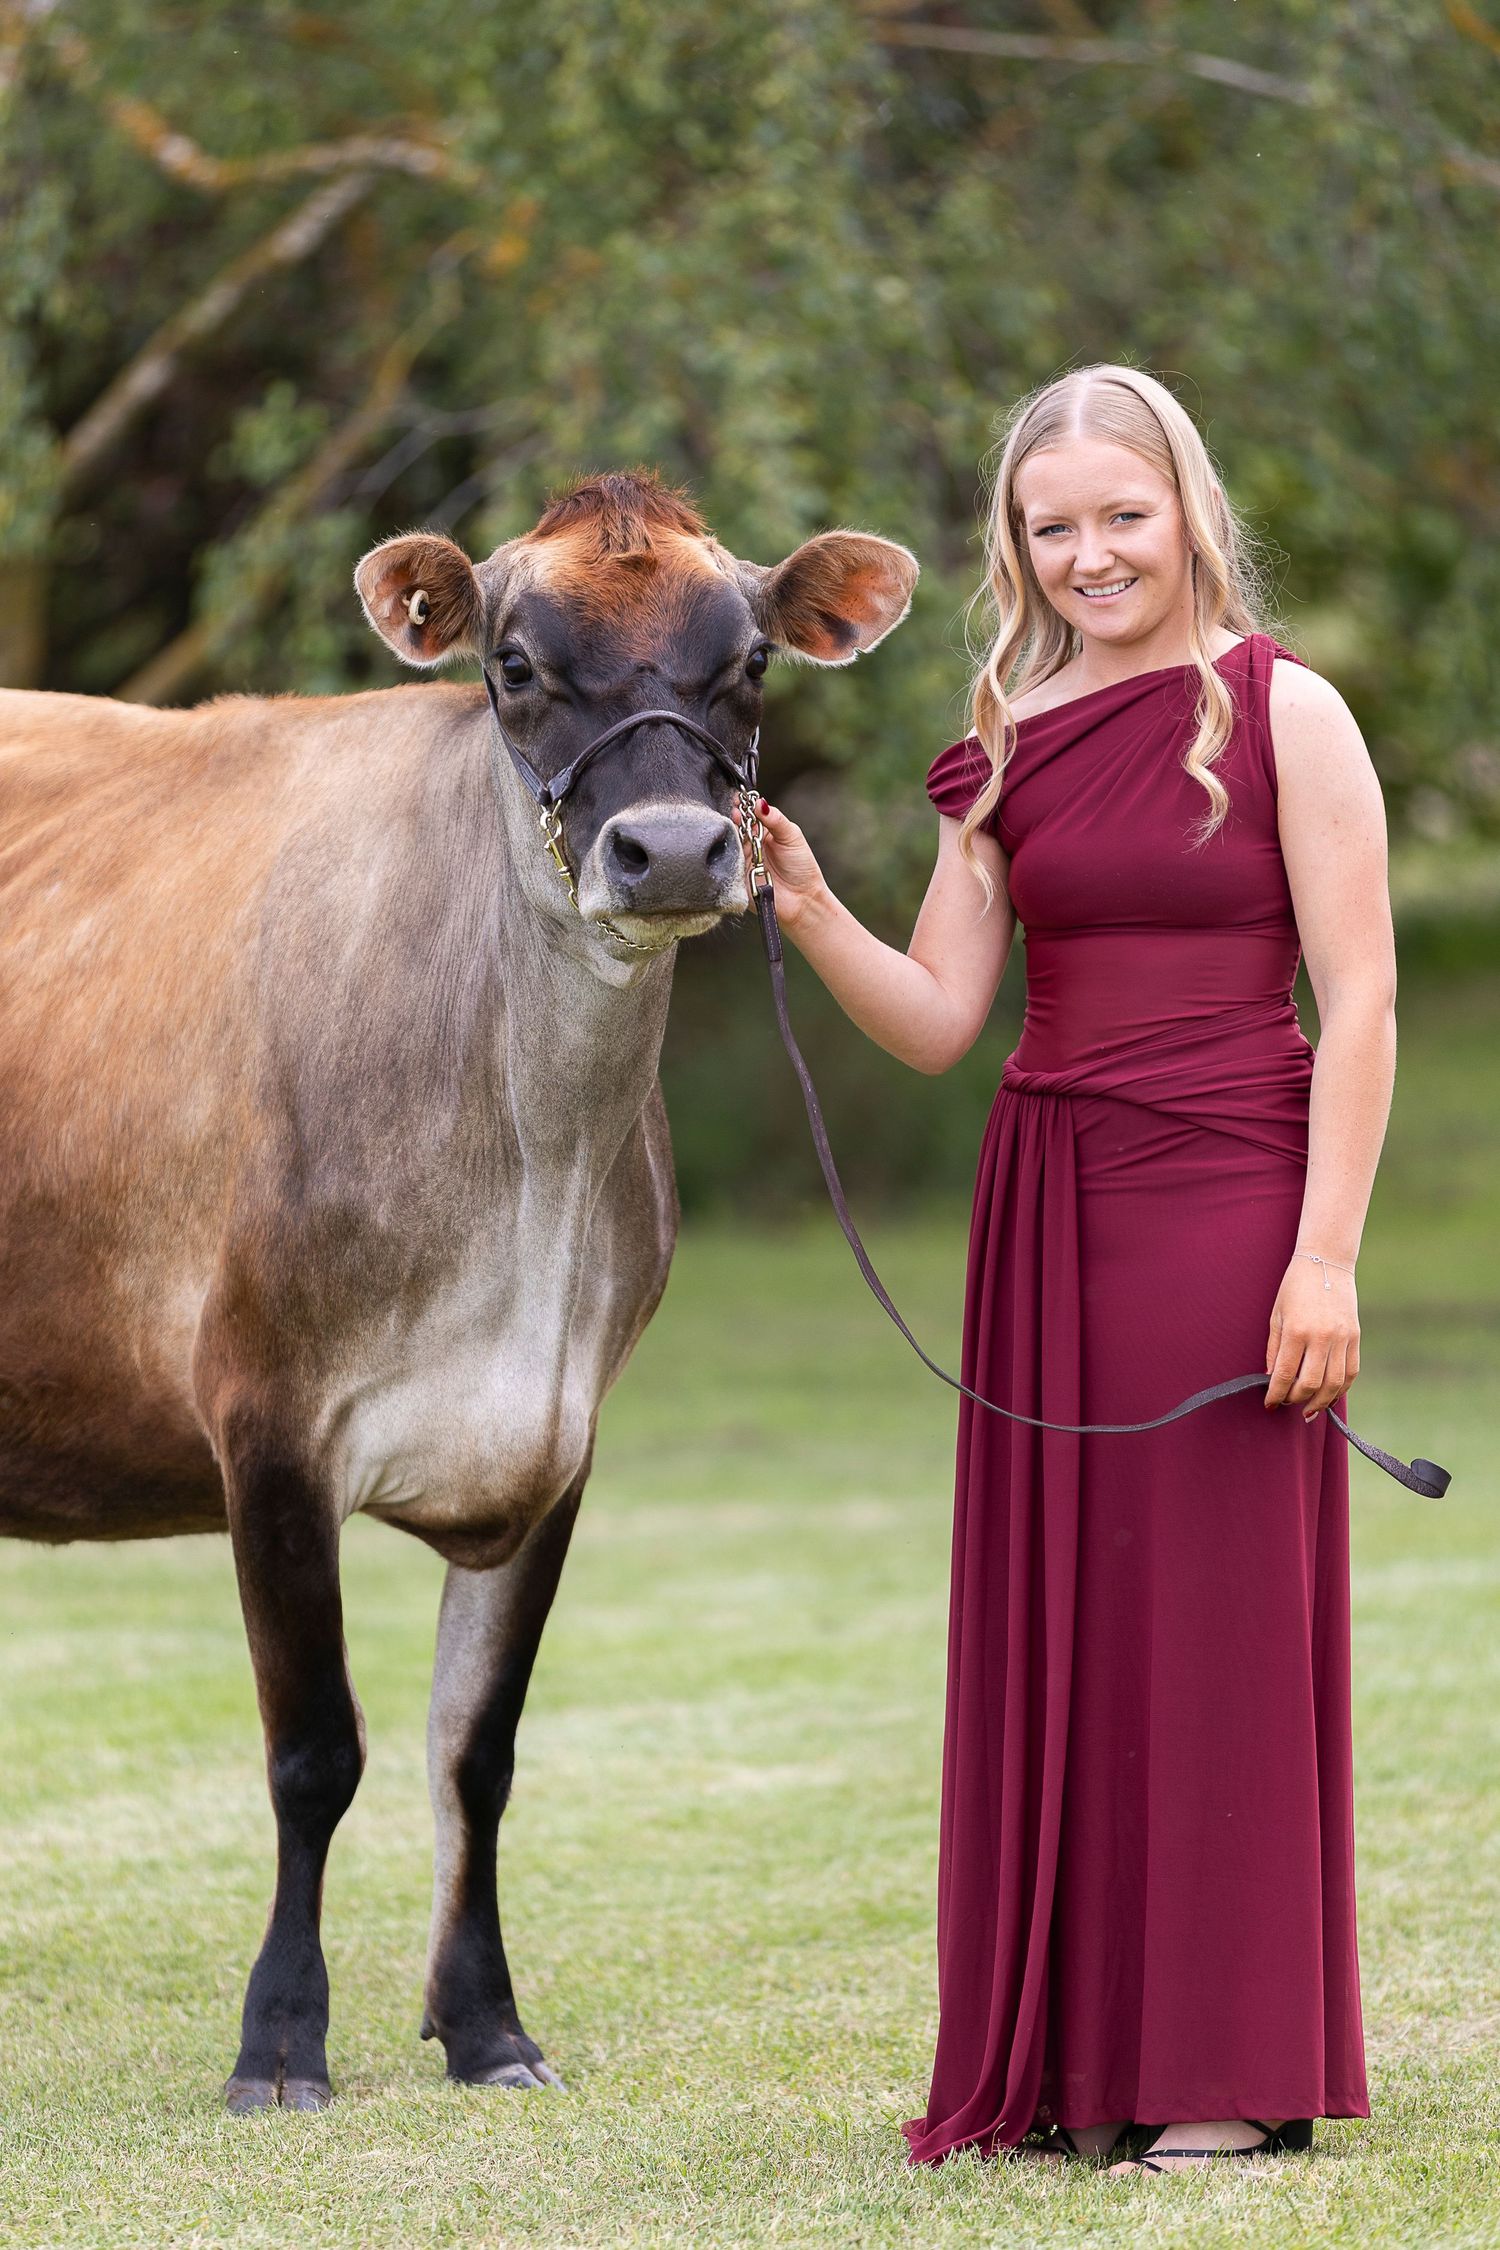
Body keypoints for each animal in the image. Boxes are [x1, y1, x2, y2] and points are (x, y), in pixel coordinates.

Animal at [0, 470, 917, 2110]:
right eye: (514, 664)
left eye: (751, 659)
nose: (670, 850)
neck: (527, 1182)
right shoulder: (266, 1418)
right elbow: (317, 1750)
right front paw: (280, 2042)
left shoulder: (552, 1438)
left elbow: (472, 1750)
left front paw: (484, 2020)